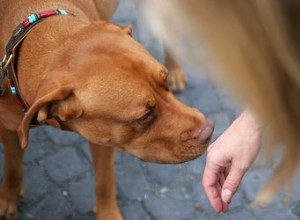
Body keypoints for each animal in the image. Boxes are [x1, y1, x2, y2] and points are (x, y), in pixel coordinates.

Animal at [0, 0, 213, 219]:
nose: (209, 130)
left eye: (165, 80)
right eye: (143, 116)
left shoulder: (103, 141)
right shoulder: (7, 127)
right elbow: (13, 166)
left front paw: (107, 212)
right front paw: (8, 198)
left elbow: (105, 180)